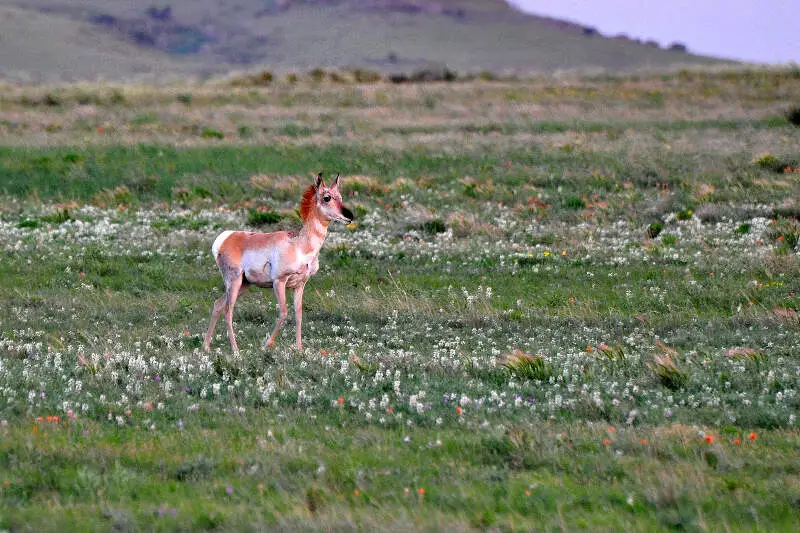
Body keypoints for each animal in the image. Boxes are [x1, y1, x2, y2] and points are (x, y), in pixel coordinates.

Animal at [202, 172, 352, 352]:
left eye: (340, 197)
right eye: (327, 197)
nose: (349, 217)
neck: (299, 244)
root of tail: (227, 237)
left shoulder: (300, 285)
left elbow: (298, 314)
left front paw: (299, 348)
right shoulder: (279, 282)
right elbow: (284, 312)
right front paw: (266, 345)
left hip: (244, 284)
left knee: (218, 304)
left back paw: (206, 347)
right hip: (235, 282)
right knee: (228, 311)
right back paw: (236, 351)